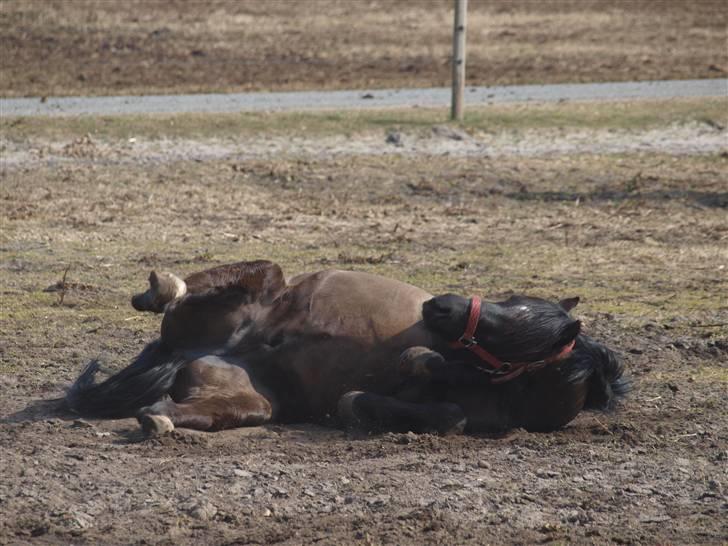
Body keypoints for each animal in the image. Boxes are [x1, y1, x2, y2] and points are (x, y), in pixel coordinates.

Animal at [65, 258, 628, 436]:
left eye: (510, 333)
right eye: (512, 302)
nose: (439, 306)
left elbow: (451, 416)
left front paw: (362, 404)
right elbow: (424, 372)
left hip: (247, 397)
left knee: (193, 408)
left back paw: (159, 418)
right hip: (257, 286)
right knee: (227, 278)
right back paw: (160, 288)